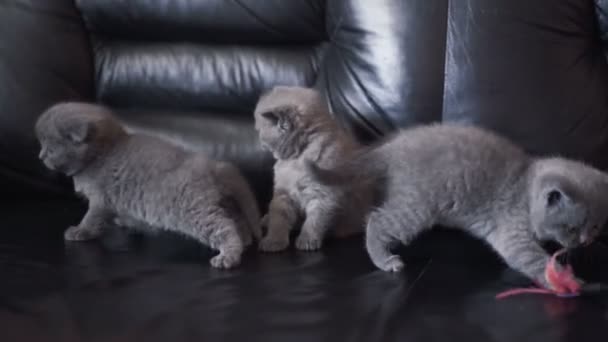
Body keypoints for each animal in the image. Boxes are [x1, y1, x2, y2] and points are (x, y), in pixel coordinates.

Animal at [34, 103, 260, 268]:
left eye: (51, 148)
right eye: (42, 145)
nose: (40, 157)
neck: (102, 153)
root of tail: (213, 165)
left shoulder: (100, 199)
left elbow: (91, 218)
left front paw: (80, 231)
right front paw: (127, 222)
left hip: (193, 209)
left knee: (223, 226)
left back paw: (228, 256)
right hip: (222, 201)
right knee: (237, 220)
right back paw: (245, 240)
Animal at [253, 85, 376, 251]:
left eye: (260, 130)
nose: (260, 143)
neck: (298, 157)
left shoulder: (323, 194)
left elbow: (314, 221)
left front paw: (307, 240)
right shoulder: (283, 194)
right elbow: (278, 219)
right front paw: (273, 241)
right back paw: (266, 219)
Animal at [306, 123, 608, 288]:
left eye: (596, 227)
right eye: (571, 228)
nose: (585, 242)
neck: (525, 186)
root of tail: (390, 148)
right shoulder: (511, 229)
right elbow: (530, 259)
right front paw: (570, 282)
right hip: (416, 208)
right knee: (376, 220)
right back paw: (385, 261)